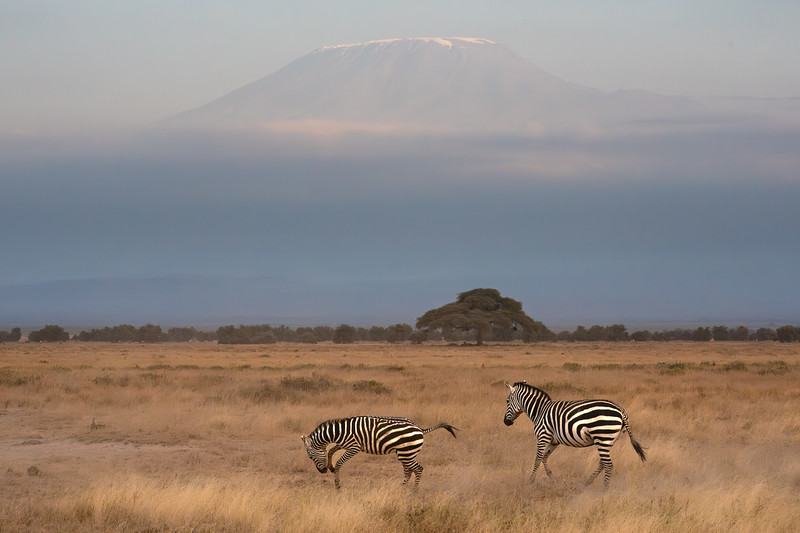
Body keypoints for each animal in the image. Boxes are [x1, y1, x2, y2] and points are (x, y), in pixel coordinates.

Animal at [301, 416, 457, 489]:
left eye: (310, 457)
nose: (322, 471)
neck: (340, 432)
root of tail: (420, 429)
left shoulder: (354, 447)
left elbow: (339, 462)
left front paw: (338, 485)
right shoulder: (344, 444)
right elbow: (331, 450)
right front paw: (331, 466)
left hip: (405, 453)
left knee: (418, 469)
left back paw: (413, 491)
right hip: (405, 453)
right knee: (409, 470)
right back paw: (402, 489)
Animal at [504, 381, 646, 489]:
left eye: (507, 401)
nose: (506, 422)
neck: (539, 411)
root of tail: (621, 411)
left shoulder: (543, 436)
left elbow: (538, 459)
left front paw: (531, 481)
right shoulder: (553, 441)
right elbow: (544, 458)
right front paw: (553, 478)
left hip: (602, 436)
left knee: (608, 465)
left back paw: (604, 490)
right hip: (608, 440)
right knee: (602, 463)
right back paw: (587, 483)